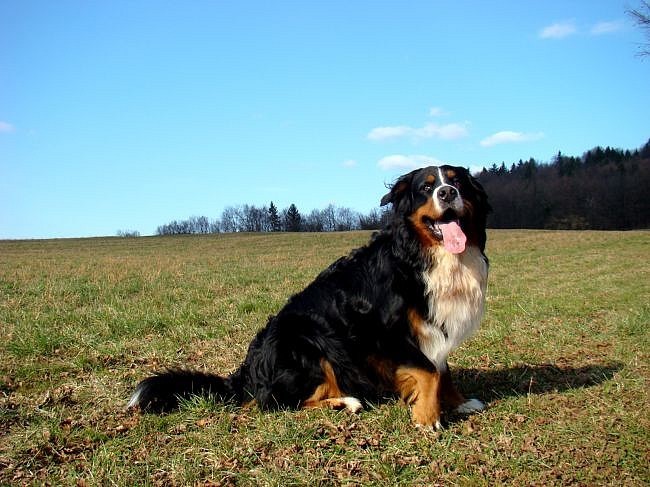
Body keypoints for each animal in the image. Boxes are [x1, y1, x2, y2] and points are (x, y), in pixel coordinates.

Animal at [129, 165, 488, 430]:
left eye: (457, 182)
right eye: (426, 188)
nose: (447, 192)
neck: (424, 255)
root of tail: (248, 372)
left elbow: (441, 369)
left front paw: (458, 402)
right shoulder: (387, 330)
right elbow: (428, 370)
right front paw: (427, 417)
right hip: (305, 342)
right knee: (278, 404)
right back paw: (345, 401)